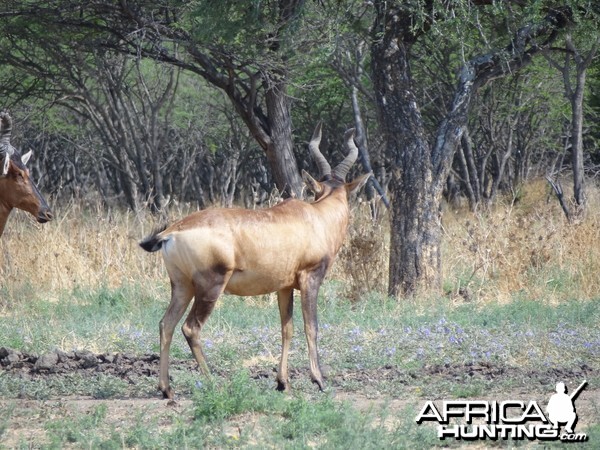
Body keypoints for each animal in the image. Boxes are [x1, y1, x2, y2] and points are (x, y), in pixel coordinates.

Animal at [140, 123, 370, 398]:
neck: (316, 217)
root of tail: (172, 231)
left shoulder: (284, 287)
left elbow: (287, 329)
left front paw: (283, 382)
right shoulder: (310, 279)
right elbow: (311, 326)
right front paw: (319, 380)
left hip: (182, 286)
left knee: (166, 324)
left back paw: (166, 389)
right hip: (210, 286)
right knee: (191, 328)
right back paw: (214, 384)